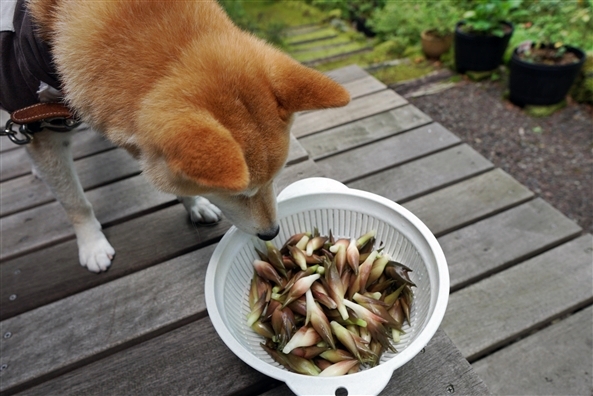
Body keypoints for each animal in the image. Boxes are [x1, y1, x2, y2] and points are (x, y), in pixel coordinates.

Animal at [2, 0, 350, 272]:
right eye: (240, 193)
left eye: (275, 179)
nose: (271, 233)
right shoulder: (37, 122)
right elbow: (75, 200)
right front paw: (92, 243)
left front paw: (194, 203)